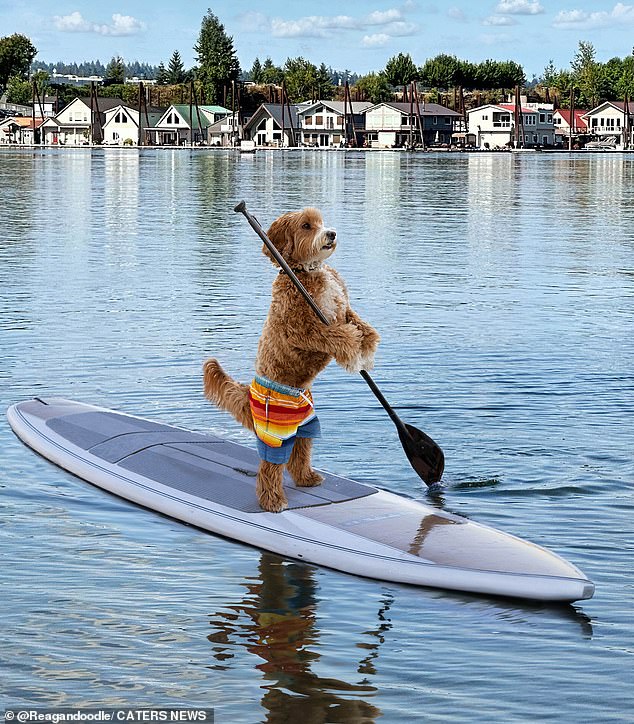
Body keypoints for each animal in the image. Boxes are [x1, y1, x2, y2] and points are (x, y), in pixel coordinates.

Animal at [204, 208, 380, 516]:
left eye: (320, 222)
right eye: (307, 226)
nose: (331, 233)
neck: (306, 272)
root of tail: (249, 393)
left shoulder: (344, 307)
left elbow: (359, 323)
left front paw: (366, 347)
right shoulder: (301, 328)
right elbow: (334, 333)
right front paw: (351, 350)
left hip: (307, 426)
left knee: (299, 454)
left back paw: (308, 478)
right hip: (274, 434)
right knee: (270, 469)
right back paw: (272, 501)